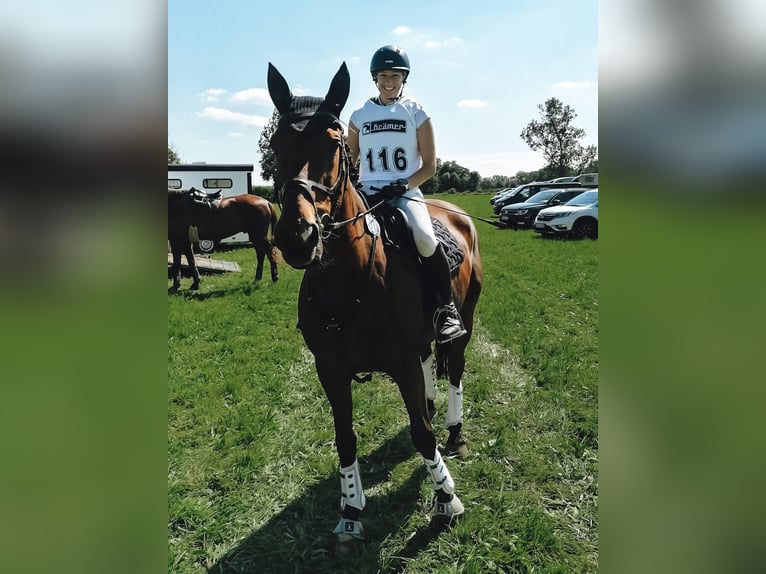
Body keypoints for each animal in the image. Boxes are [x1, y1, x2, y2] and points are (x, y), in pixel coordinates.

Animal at [267, 61, 483, 555]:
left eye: (333, 144)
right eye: (276, 145)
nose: (297, 237)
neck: (348, 283)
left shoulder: (400, 364)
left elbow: (422, 433)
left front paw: (446, 499)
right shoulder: (330, 369)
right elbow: (345, 439)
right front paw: (350, 511)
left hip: (465, 320)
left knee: (455, 367)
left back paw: (455, 432)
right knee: (430, 362)